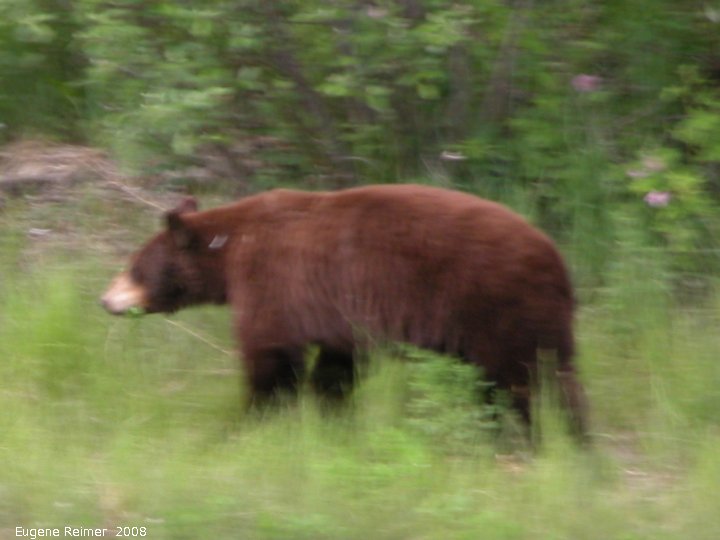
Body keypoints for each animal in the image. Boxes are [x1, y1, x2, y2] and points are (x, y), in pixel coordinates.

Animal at [101, 184, 588, 437]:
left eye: (134, 266)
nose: (105, 299)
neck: (232, 247)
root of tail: (558, 260)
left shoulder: (272, 285)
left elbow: (270, 360)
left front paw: (249, 422)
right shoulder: (339, 319)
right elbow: (335, 370)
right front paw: (331, 422)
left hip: (498, 306)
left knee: (530, 378)